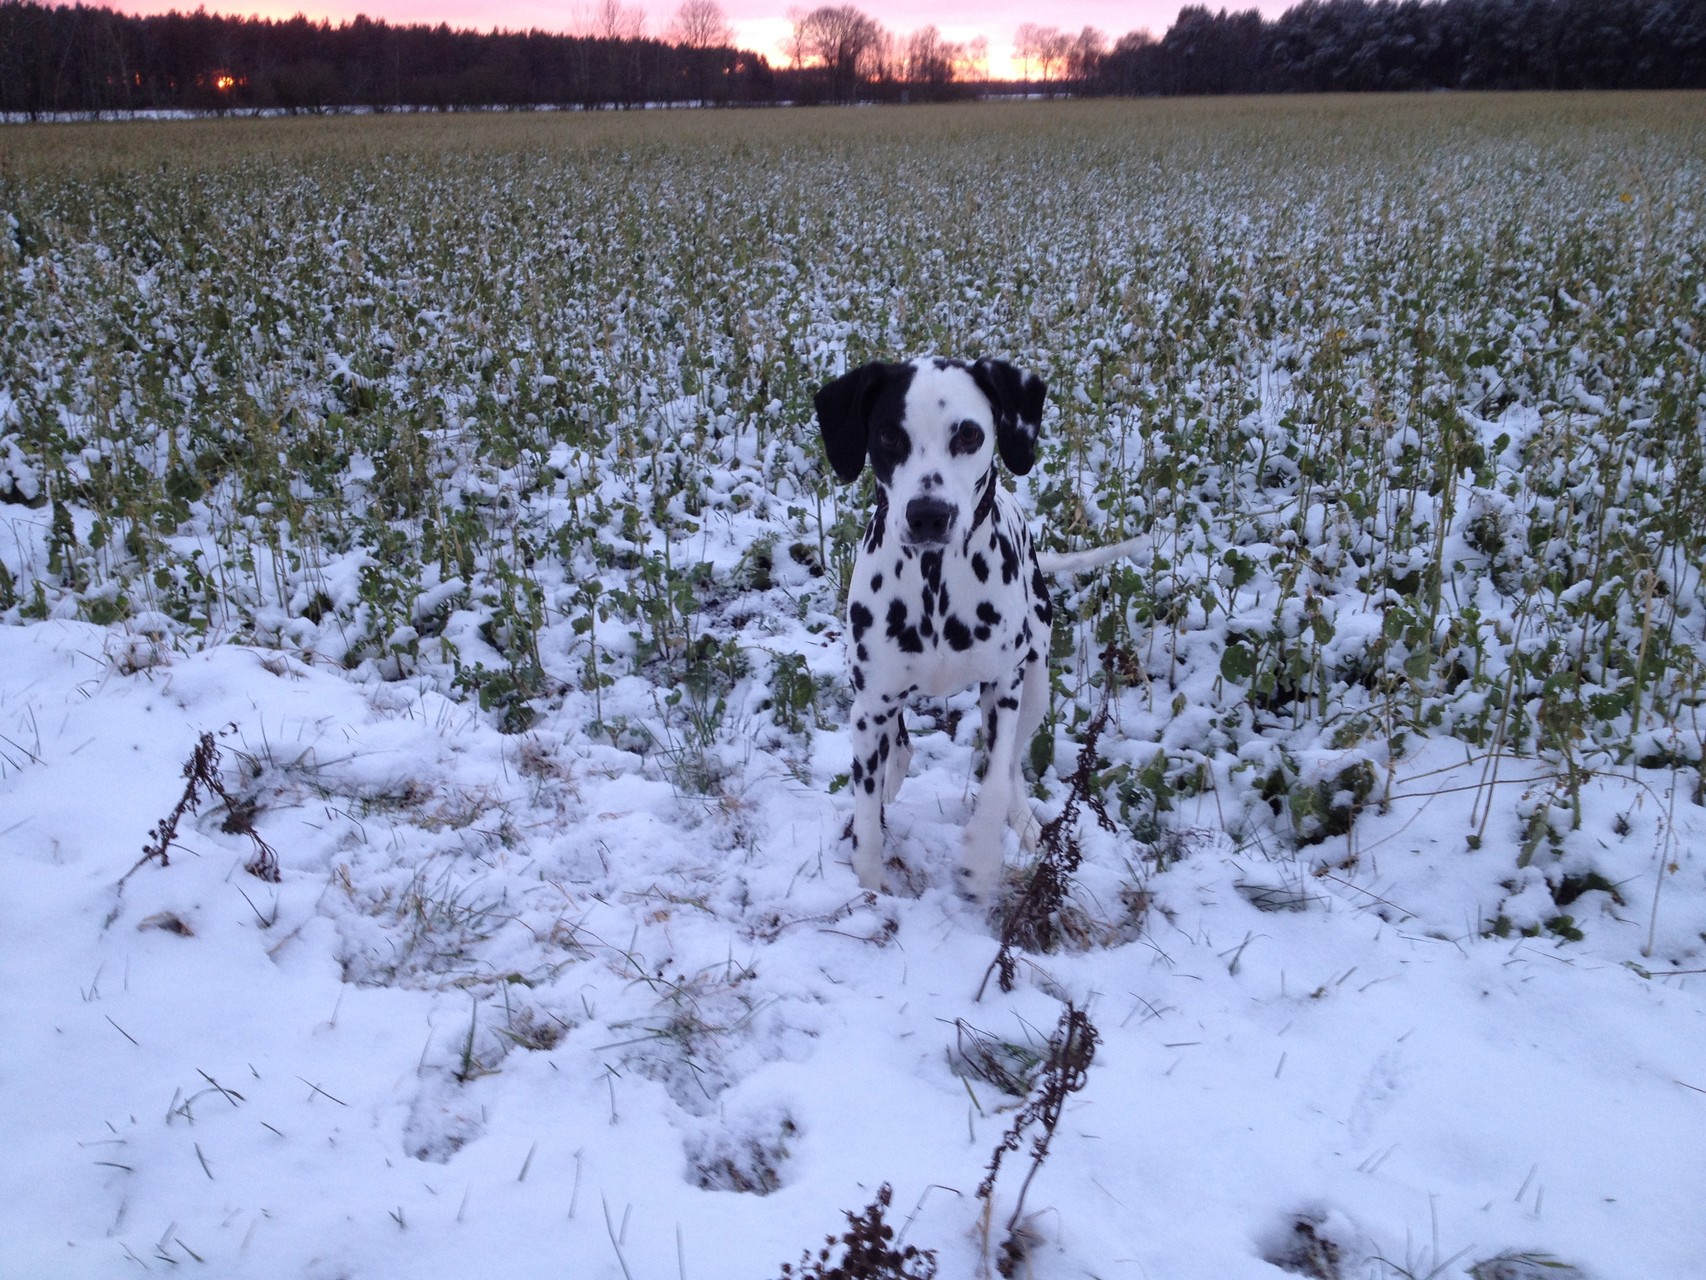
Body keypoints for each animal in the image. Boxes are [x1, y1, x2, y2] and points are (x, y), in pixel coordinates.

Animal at [808, 356, 1132, 907]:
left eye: (969, 435)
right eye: (888, 436)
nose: (928, 515)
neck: (935, 582)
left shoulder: (1003, 687)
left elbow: (997, 776)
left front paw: (980, 862)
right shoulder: (871, 704)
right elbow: (868, 812)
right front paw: (869, 884)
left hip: (1036, 684)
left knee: (1014, 764)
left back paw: (1022, 824)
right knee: (899, 749)